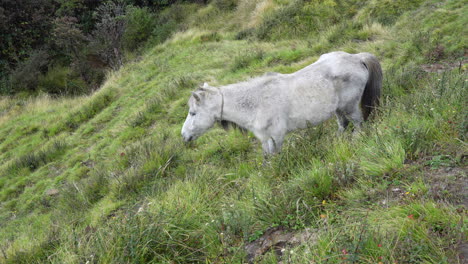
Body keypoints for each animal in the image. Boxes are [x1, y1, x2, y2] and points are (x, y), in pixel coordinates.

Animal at [181, 51, 382, 155]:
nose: (184, 136)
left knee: (358, 124)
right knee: (343, 125)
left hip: (350, 107)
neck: (256, 103)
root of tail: (357, 57)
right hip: (339, 109)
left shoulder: (277, 135)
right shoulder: (265, 138)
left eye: (193, 113)